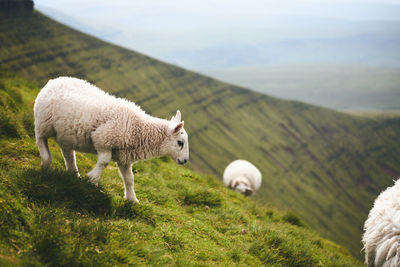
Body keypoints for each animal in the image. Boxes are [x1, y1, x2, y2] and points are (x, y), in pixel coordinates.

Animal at [34, 76, 189, 204]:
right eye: (180, 142)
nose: (185, 161)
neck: (140, 129)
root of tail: (53, 81)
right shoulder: (103, 139)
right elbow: (104, 162)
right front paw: (92, 179)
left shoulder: (124, 157)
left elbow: (129, 179)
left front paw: (132, 200)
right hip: (44, 122)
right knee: (40, 139)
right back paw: (46, 162)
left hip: (66, 134)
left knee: (68, 153)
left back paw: (73, 174)